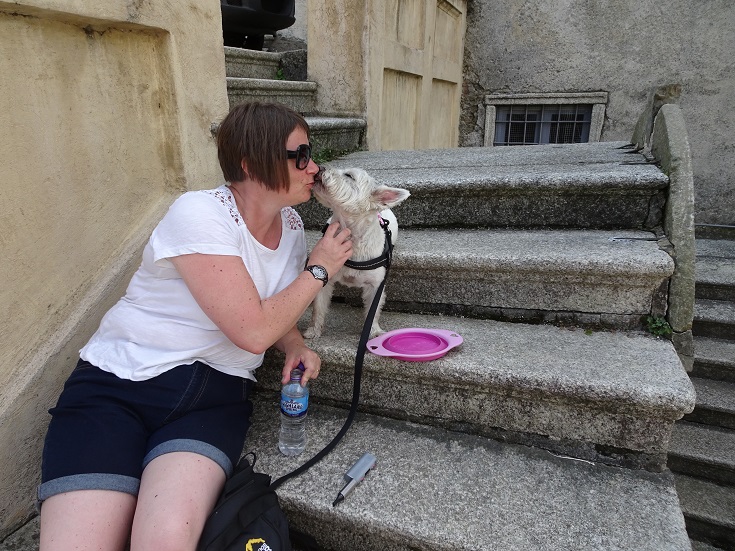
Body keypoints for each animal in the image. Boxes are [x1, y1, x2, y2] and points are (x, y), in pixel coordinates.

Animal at [302, 168, 412, 340]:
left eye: (349, 176)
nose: (321, 168)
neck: (351, 237)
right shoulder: (326, 278)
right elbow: (318, 307)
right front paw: (313, 331)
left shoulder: (376, 285)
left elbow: (373, 311)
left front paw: (373, 331)